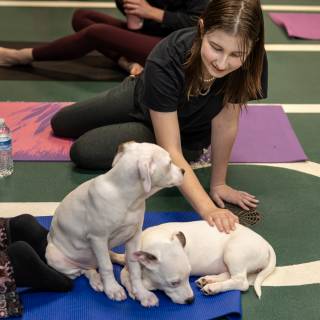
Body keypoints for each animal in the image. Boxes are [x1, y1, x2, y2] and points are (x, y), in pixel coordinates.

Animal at [45, 141, 185, 306]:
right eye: (169, 163)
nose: (184, 171)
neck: (126, 198)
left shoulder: (134, 236)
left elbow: (134, 268)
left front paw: (141, 293)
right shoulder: (98, 239)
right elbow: (106, 267)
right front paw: (113, 289)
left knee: (100, 263)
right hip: (55, 257)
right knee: (84, 270)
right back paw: (97, 280)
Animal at [112, 219, 276, 304]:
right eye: (174, 283)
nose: (191, 300)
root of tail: (266, 243)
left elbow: (135, 279)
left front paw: (140, 289)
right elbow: (123, 272)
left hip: (233, 252)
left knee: (241, 281)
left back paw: (214, 287)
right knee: (230, 275)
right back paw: (208, 280)